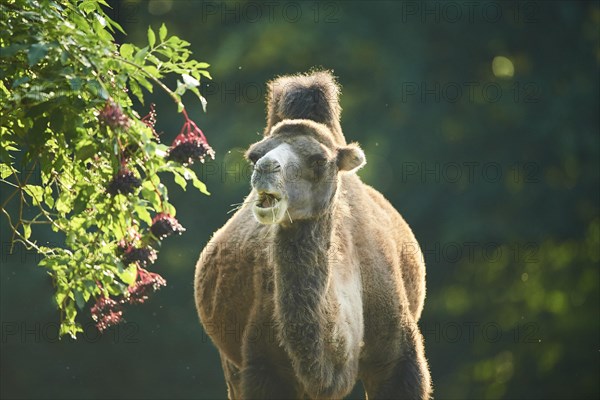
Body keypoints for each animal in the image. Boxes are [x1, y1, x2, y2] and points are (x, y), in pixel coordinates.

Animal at [195, 70, 428, 398]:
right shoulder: (262, 365)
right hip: (232, 361)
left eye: (319, 160)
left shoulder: (398, 358)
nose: (265, 168)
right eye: (254, 156)